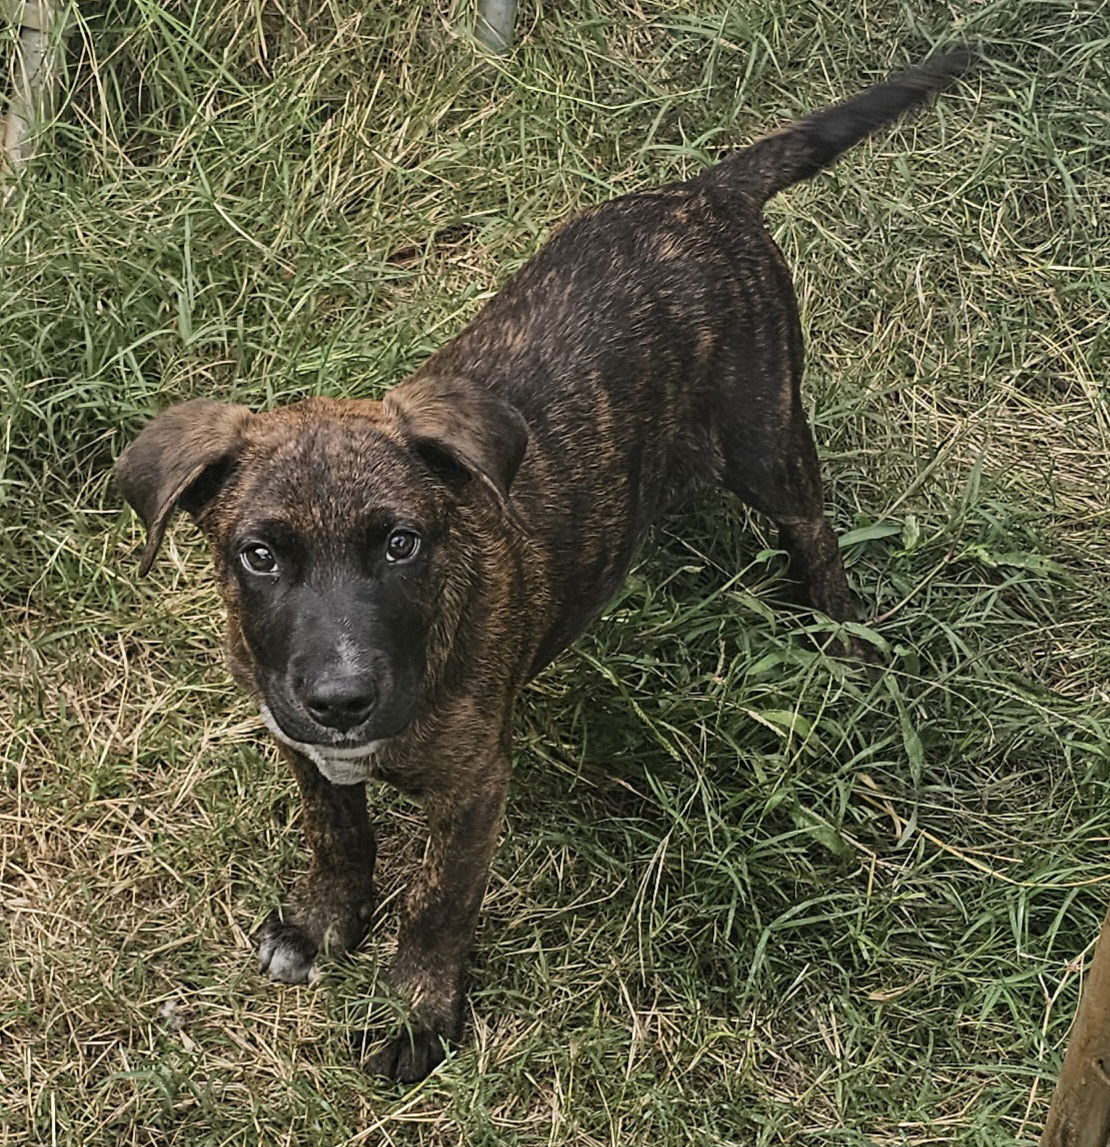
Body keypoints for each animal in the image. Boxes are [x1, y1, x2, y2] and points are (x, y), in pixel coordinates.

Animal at [112, 53, 963, 1078]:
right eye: (260, 555)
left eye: (402, 543)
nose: (343, 699)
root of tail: (707, 193)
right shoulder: (302, 746)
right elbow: (338, 837)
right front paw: (323, 925)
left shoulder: (472, 789)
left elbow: (438, 909)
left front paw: (418, 1017)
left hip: (764, 431)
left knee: (815, 527)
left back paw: (841, 632)